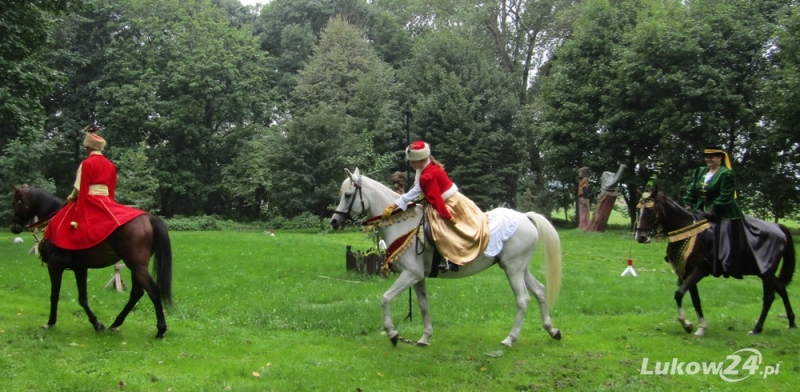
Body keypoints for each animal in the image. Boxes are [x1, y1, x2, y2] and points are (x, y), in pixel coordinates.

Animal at [9, 185, 173, 338]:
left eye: (17, 201)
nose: (13, 226)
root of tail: (149, 218)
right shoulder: (80, 268)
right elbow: (83, 298)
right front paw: (97, 324)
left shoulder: (55, 266)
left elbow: (54, 295)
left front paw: (50, 322)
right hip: (136, 266)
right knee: (137, 293)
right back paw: (116, 324)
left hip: (136, 265)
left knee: (153, 291)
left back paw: (160, 330)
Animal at [330, 168, 564, 346]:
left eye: (348, 195)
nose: (334, 221)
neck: (403, 223)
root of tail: (525, 217)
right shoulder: (417, 277)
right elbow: (423, 305)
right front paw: (425, 338)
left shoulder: (410, 274)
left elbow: (385, 298)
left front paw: (393, 334)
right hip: (518, 268)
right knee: (540, 292)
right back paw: (552, 330)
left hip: (513, 269)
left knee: (523, 299)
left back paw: (510, 339)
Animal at [636, 188, 796, 336]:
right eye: (639, 210)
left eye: (650, 210)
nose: (641, 237)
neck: (687, 232)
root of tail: (779, 227)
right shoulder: (687, 273)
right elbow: (695, 299)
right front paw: (700, 327)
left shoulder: (699, 270)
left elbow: (679, 293)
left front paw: (687, 324)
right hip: (764, 272)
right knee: (781, 288)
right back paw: (792, 322)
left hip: (766, 272)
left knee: (769, 297)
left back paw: (757, 329)